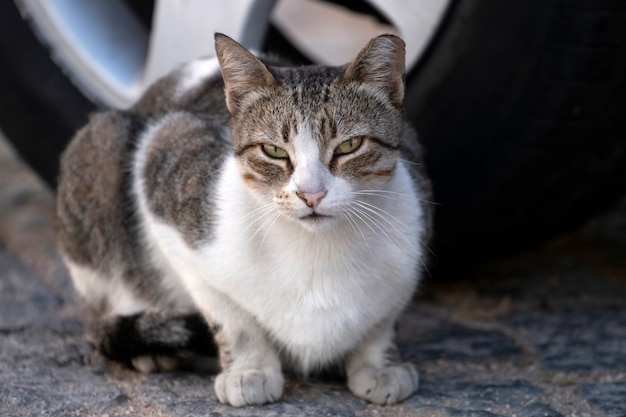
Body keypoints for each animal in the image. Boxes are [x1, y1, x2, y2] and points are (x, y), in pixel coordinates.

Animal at [56, 33, 432, 406]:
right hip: (100, 146)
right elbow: (231, 317)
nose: (311, 194)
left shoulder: (412, 244)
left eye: (350, 145)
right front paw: (251, 371)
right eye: (274, 150)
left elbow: (382, 320)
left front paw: (378, 365)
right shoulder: (163, 166)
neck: (316, 251)